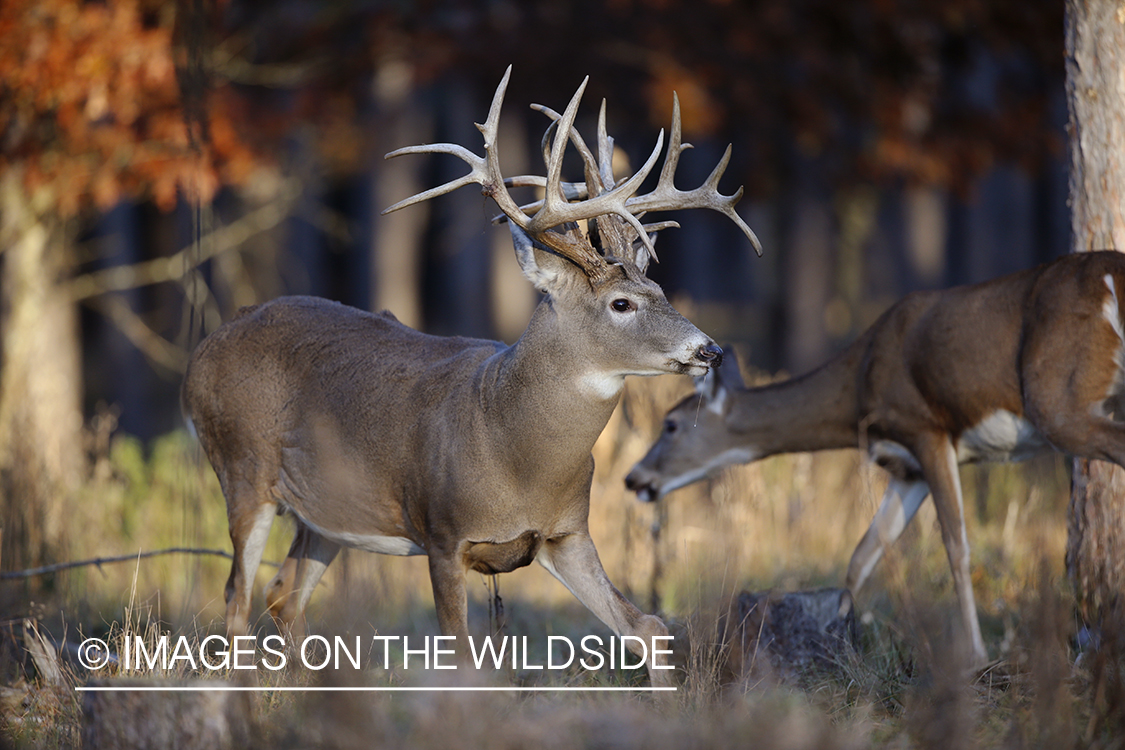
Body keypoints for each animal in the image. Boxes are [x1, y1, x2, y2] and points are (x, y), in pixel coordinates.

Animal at [182, 66, 765, 688]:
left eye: (658, 288)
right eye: (622, 303)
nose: (711, 350)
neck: (512, 450)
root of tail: (204, 350)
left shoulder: (567, 533)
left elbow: (648, 627)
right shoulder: (442, 534)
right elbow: (460, 659)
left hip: (326, 514)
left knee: (282, 594)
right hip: (242, 468)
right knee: (236, 600)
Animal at [630, 249, 1125, 665]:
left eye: (670, 425)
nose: (633, 478)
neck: (858, 390)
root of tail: (1111, 276)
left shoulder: (926, 430)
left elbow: (956, 546)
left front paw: (976, 656)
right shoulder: (906, 470)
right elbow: (862, 555)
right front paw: (839, 641)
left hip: (1059, 400)